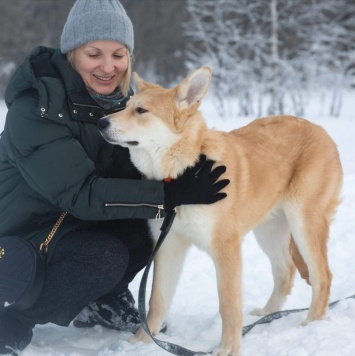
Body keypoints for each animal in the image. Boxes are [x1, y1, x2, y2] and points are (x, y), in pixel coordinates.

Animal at [98, 67, 344, 356]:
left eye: (141, 110)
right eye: (124, 107)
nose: (101, 123)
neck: (183, 175)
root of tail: (320, 130)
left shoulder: (226, 249)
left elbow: (228, 305)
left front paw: (229, 348)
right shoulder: (168, 245)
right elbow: (156, 301)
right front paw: (142, 341)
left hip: (303, 221)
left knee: (322, 275)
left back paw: (310, 323)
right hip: (269, 231)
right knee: (285, 271)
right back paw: (266, 315)